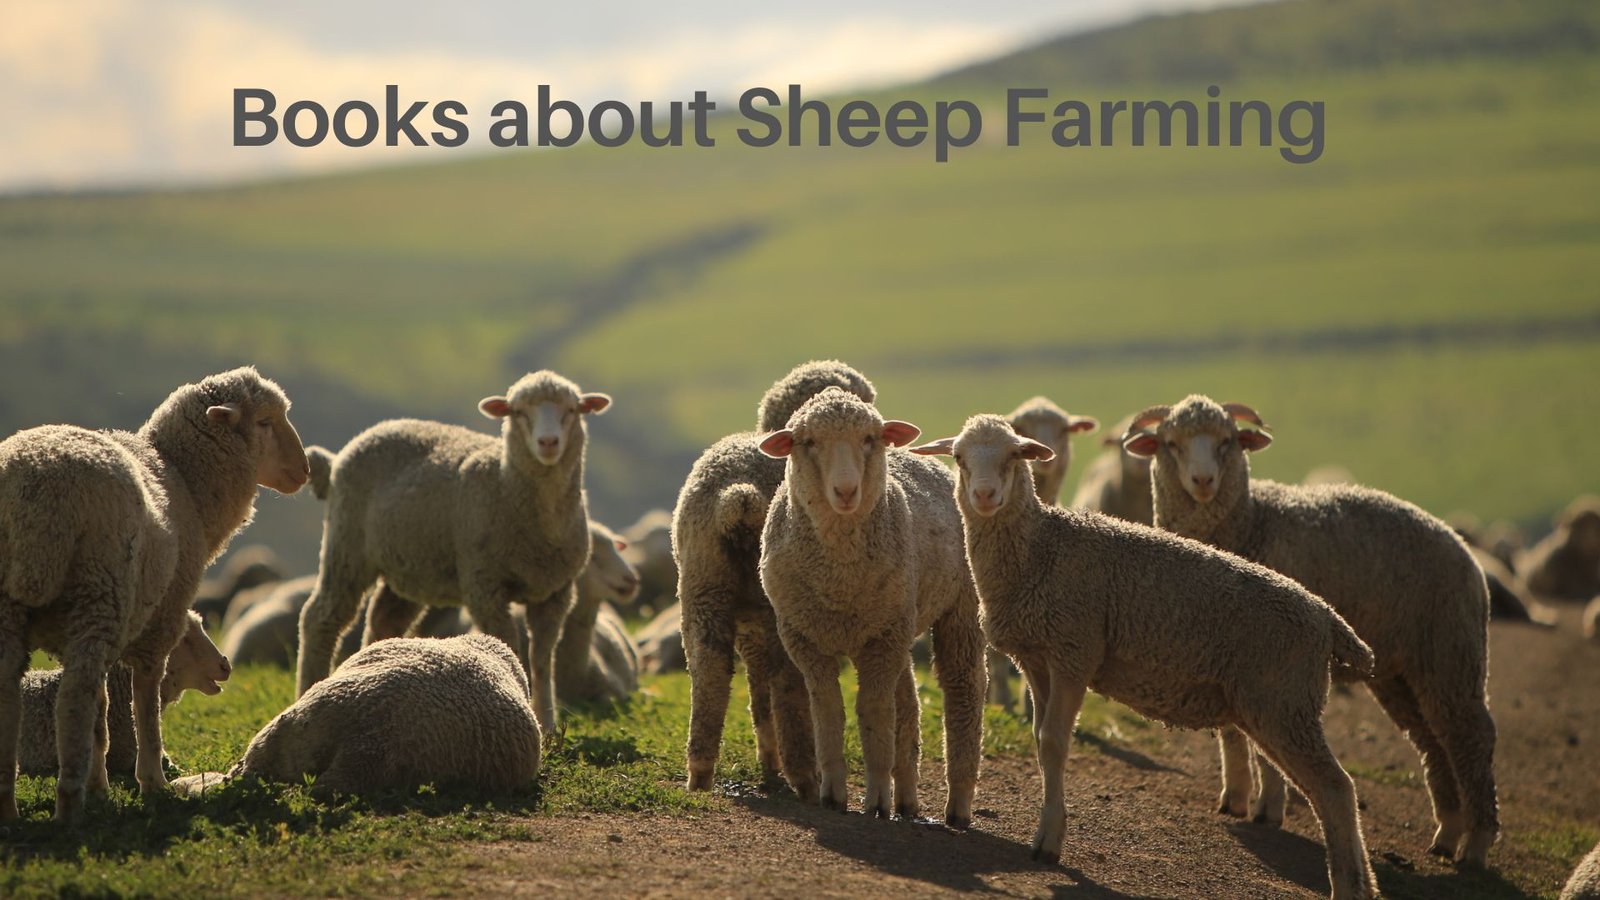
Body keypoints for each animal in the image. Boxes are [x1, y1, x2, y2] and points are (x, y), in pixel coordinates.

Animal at [296, 370, 607, 732]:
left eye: (572, 410)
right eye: (518, 412)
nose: (548, 443)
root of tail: (337, 460)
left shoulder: (556, 592)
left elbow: (543, 659)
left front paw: (547, 724)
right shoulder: (484, 585)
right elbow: (510, 646)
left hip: (409, 565)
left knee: (384, 619)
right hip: (347, 546)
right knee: (320, 617)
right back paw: (307, 689)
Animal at [677, 360, 876, 799]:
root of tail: (737, 495)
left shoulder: (750, 623)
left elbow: (756, 685)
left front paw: (767, 759)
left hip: (703, 585)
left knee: (709, 668)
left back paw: (700, 771)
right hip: (781, 601)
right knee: (788, 678)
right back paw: (805, 775)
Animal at [758, 388, 986, 825]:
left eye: (869, 439)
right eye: (807, 442)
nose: (847, 491)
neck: (840, 579)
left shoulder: (882, 639)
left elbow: (874, 712)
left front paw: (877, 797)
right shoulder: (806, 638)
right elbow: (829, 711)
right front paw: (832, 794)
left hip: (958, 609)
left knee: (962, 688)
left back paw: (958, 805)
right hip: (900, 620)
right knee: (908, 704)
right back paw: (908, 799)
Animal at [911, 416, 1378, 899]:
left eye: (1014, 455)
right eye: (959, 458)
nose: (985, 496)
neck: (1042, 546)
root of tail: (1327, 619)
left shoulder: (1075, 651)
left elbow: (1056, 743)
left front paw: (1048, 842)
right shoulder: (1038, 659)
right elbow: (1041, 740)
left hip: (1284, 701)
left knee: (1336, 788)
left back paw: (1350, 885)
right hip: (1277, 705)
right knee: (1330, 789)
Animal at [1123, 395, 1498, 866]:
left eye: (1228, 441)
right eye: (1171, 443)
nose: (1204, 480)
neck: (1253, 519)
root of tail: (1468, 555)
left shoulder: (1270, 653)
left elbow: (1262, 746)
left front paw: (1268, 808)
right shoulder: (1222, 644)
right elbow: (1232, 731)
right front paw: (1235, 797)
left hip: (1452, 651)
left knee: (1471, 737)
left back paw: (1475, 846)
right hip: (1400, 672)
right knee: (1432, 741)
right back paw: (1446, 835)